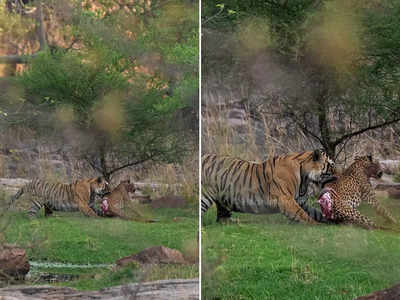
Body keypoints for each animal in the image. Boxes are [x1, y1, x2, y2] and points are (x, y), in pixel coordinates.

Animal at [202, 149, 336, 223]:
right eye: (331, 165)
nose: (338, 175)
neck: (305, 177)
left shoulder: (299, 200)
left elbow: (315, 212)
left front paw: (331, 220)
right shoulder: (286, 200)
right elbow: (302, 215)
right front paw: (316, 225)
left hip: (224, 201)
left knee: (222, 219)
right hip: (206, 195)